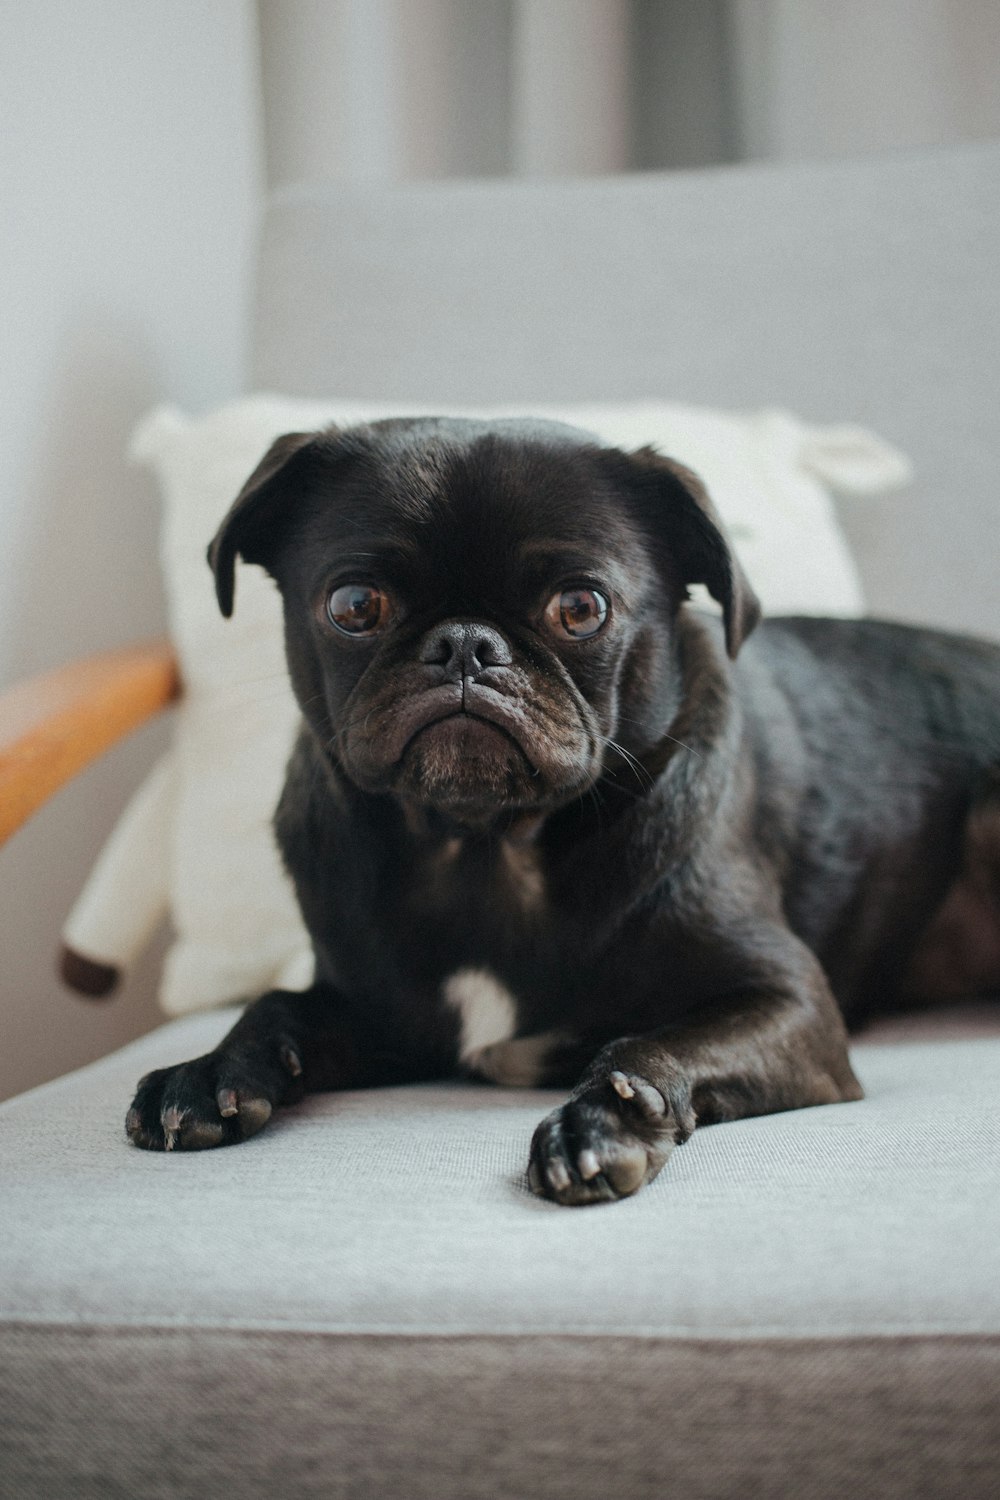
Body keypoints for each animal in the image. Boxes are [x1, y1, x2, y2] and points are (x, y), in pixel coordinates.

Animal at [125, 414, 1000, 1206]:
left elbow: (646, 1043)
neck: (483, 844)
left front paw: (604, 1124)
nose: (466, 644)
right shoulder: (381, 1020)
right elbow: (279, 1005)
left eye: (580, 608)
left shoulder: (789, 1004)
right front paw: (209, 1071)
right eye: (355, 605)